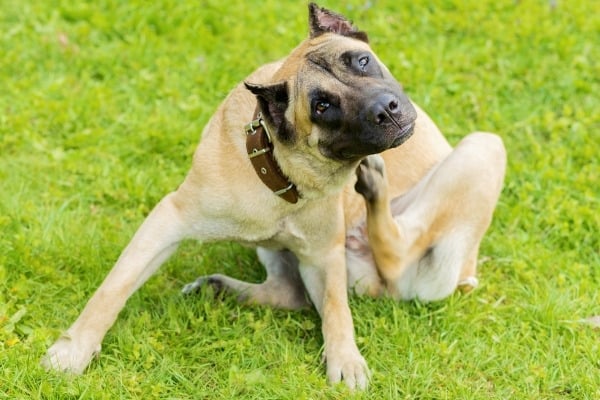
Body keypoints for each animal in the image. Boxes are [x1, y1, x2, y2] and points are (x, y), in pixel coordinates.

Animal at [39, 3, 504, 390]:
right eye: (322, 106)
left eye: (362, 60)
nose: (385, 108)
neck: (283, 168)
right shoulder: (169, 220)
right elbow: (113, 289)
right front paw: (74, 349)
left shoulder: (323, 257)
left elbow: (336, 310)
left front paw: (345, 359)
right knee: (301, 288)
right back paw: (220, 288)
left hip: (482, 148)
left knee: (388, 255)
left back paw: (373, 189)